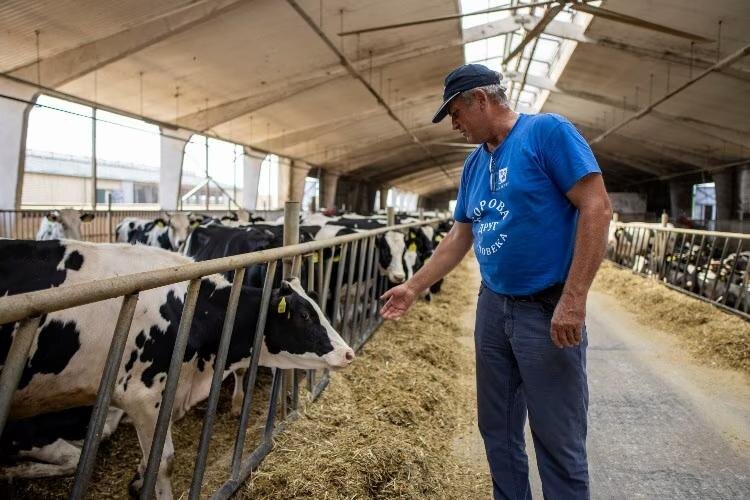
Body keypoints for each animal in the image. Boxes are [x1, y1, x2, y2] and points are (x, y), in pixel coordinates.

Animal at [0, 239, 354, 498]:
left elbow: (151, 456)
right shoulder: (141, 394)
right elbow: (163, 461)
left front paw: (138, 482)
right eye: (304, 315)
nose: (348, 353)